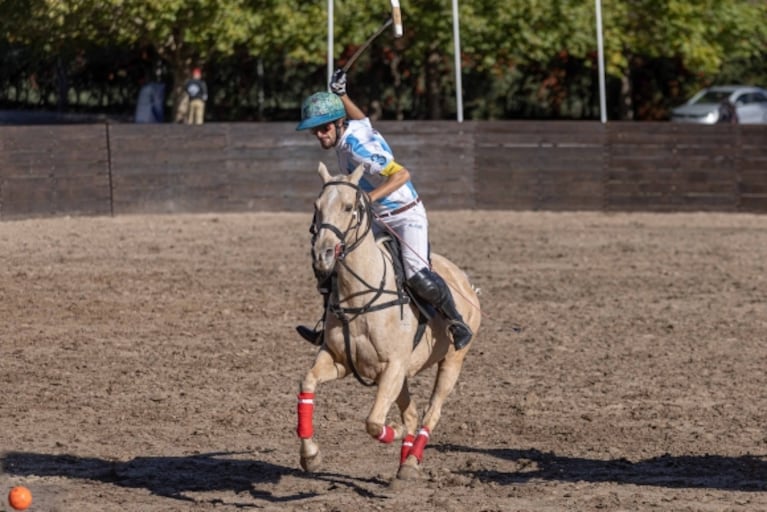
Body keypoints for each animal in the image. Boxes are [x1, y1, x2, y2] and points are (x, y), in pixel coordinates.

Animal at [296, 161, 484, 480]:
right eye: (316, 206)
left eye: (349, 207)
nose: (322, 255)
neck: (359, 297)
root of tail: (465, 282)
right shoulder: (339, 360)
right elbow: (307, 383)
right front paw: (311, 456)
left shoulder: (392, 367)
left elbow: (374, 422)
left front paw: (393, 430)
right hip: (404, 375)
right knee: (412, 412)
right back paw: (405, 459)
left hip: (452, 362)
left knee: (430, 412)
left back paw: (410, 462)